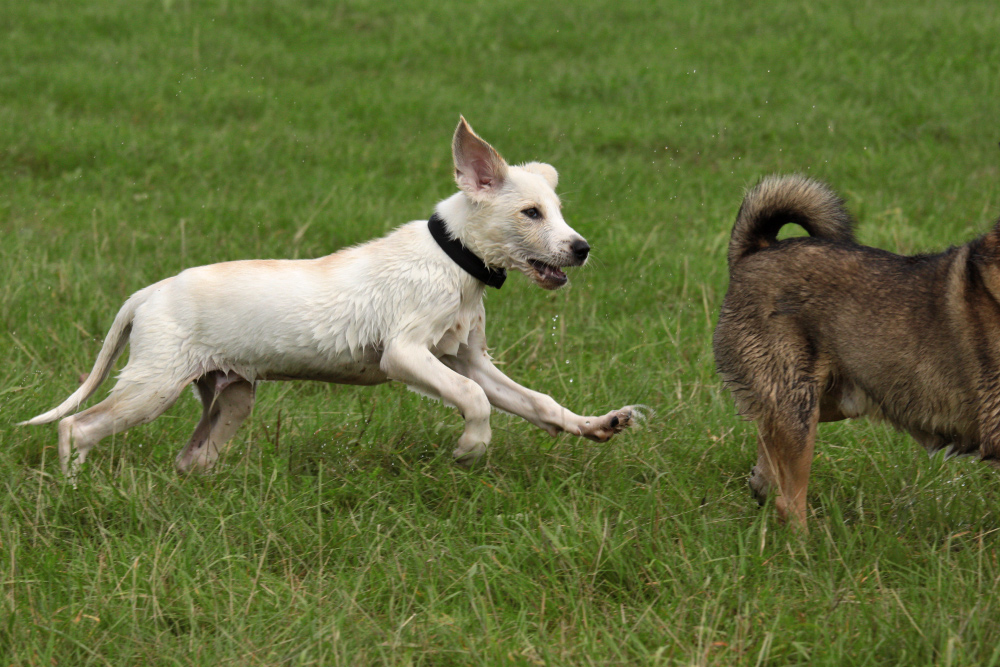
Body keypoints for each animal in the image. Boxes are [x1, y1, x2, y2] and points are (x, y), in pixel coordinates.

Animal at [23, 118, 636, 474]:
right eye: (531, 213)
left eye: (557, 211)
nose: (581, 249)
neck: (451, 257)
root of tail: (148, 291)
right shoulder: (405, 354)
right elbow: (475, 400)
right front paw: (471, 448)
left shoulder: (468, 359)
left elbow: (534, 402)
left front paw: (597, 425)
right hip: (152, 384)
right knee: (77, 427)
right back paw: (74, 489)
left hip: (230, 396)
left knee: (188, 458)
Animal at [716, 175, 996, 528]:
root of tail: (755, 250)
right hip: (798, 406)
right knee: (788, 501)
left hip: (833, 400)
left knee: (766, 436)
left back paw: (761, 481)